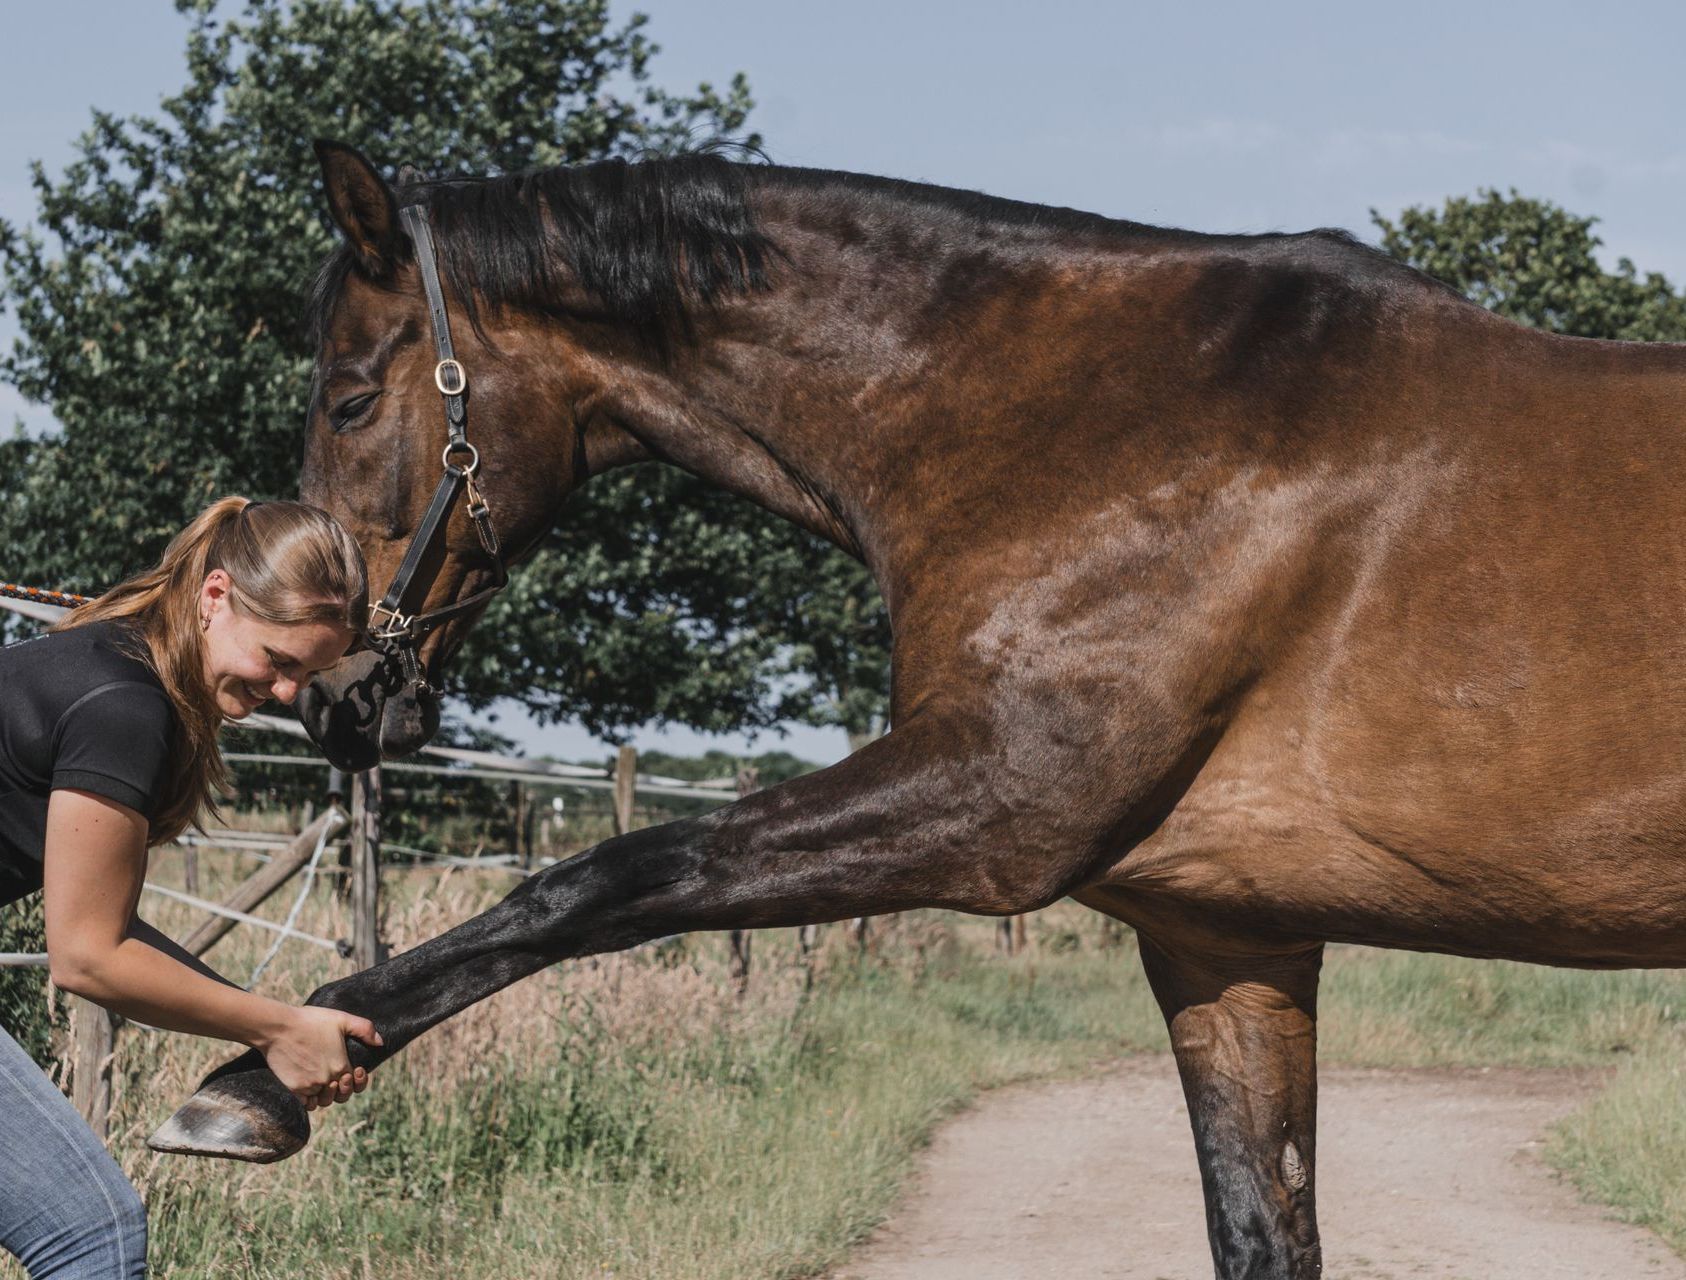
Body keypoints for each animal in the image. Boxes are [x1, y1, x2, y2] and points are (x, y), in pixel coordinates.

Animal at [149, 140, 1686, 1280]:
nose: (333, 697)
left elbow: (604, 876)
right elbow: (1262, 1226)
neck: (1105, 422)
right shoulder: (1226, 935)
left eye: (352, 400)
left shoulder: (991, 807)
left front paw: (257, 1080)